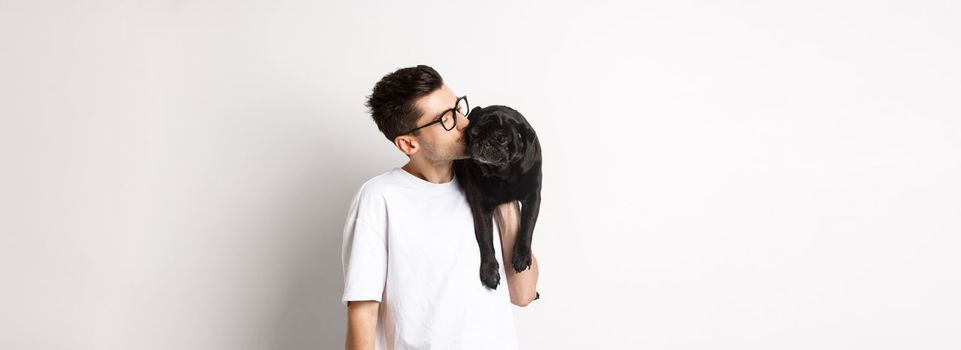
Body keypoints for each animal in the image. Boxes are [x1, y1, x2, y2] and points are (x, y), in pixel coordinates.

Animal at [452, 104, 540, 290]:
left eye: (501, 139)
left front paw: (522, 256)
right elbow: (486, 238)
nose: (483, 142)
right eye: (474, 133)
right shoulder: (481, 208)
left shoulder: (533, 197)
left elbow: (527, 226)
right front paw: (490, 271)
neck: (503, 174)